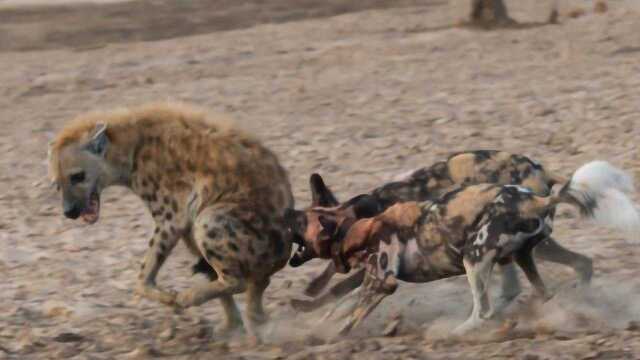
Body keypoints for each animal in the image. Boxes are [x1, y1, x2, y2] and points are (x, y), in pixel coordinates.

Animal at [49, 102, 296, 338]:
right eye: (57, 184)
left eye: (78, 176)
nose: (69, 211)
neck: (131, 152)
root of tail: (286, 247)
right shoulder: (183, 217)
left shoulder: (171, 216)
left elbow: (143, 274)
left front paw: (171, 298)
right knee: (254, 281)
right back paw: (242, 324)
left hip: (214, 219)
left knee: (237, 280)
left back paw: (190, 297)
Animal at [308, 162, 636, 336]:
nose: (310, 282)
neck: (366, 226)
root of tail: (535, 199)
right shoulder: (371, 279)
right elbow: (342, 305)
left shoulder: (381, 281)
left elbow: (349, 318)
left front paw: (326, 339)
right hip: (517, 256)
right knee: (540, 293)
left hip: (474, 260)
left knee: (484, 311)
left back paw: (453, 333)